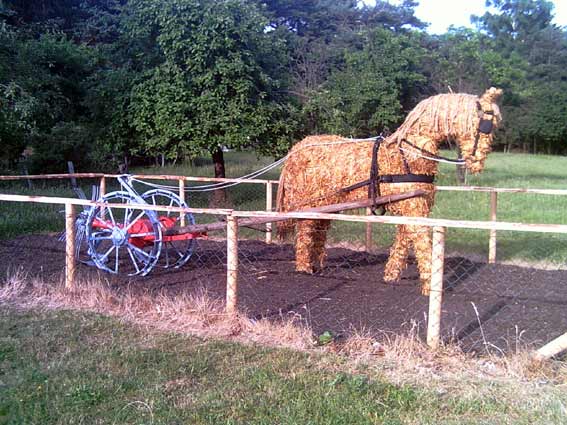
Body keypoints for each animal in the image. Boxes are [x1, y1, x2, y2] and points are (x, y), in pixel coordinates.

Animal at [276, 87, 503, 295]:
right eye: (485, 125)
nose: (477, 163)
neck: (409, 153)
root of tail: (295, 150)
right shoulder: (415, 209)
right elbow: (422, 244)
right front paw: (430, 285)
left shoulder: (411, 205)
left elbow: (403, 242)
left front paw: (392, 276)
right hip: (309, 202)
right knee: (305, 233)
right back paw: (304, 270)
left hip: (328, 204)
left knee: (318, 232)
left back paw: (317, 266)